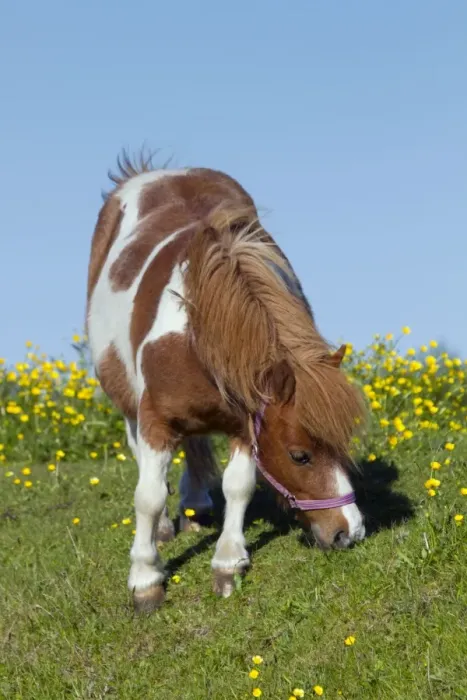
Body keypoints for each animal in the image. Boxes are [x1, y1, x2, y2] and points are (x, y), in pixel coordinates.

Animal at [86, 152, 367, 612]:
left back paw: (196, 507)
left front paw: (228, 563)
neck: (198, 330)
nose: (349, 531)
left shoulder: (245, 421)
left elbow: (239, 486)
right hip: (125, 397)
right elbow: (148, 496)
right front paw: (145, 579)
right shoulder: (155, 419)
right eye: (300, 456)